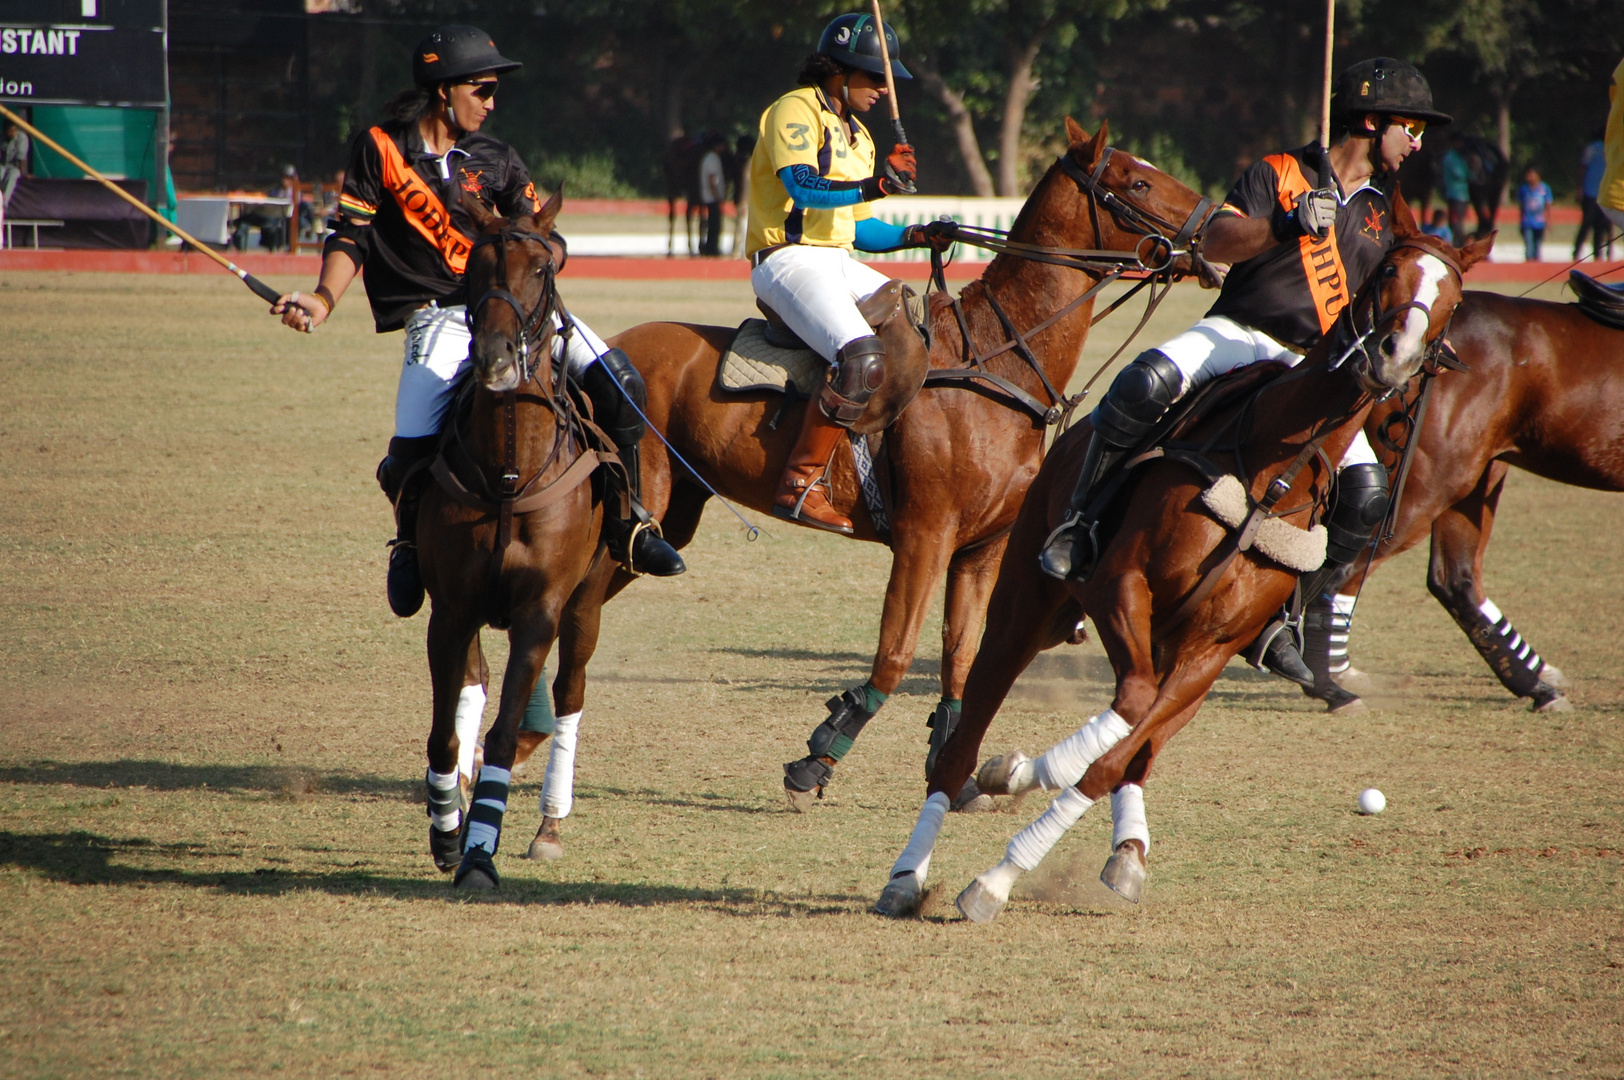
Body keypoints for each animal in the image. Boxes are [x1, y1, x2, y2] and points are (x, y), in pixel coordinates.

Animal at [415, 187, 617, 889]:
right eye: (474, 269)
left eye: (543, 267)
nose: (496, 358)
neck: (509, 469)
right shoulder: (451, 608)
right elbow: (445, 733)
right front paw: (450, 834)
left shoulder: (541, 610)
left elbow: (505, 731)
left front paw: (481, 852)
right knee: (472, 688)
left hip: (587, 602)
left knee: (569, 694)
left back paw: (548, 823)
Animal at [604, 117, 1221, 812]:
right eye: (1137, 181)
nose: (1222, 226)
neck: (1000, 365)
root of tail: (613, 344)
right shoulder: (926, 535)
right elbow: (896, 655)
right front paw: (816, 760)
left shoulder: (980, 549)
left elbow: (961, 656)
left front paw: (951, 770)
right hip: (646, 504)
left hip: (672, 515)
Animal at [876, 202, 1494, 915]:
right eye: (1391, 270)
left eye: (1453, 300)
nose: (1394, 357)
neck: (1272, 478)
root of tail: (1071, 439)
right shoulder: (1122, 582)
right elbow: (1123, 716)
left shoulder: (1210, 652)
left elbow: (1118, 755)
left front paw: (1006, 859)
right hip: (1023, 603)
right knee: (964, 740)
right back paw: (907, 874)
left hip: (1171, 652)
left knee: (1134, 743)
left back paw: (1105, 839)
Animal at [1299, 290, 1624, 711]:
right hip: (1434, 485)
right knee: (1345, 571)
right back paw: (1327, 681)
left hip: (1474, 479)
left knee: (1453, 579)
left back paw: (1536, 685)